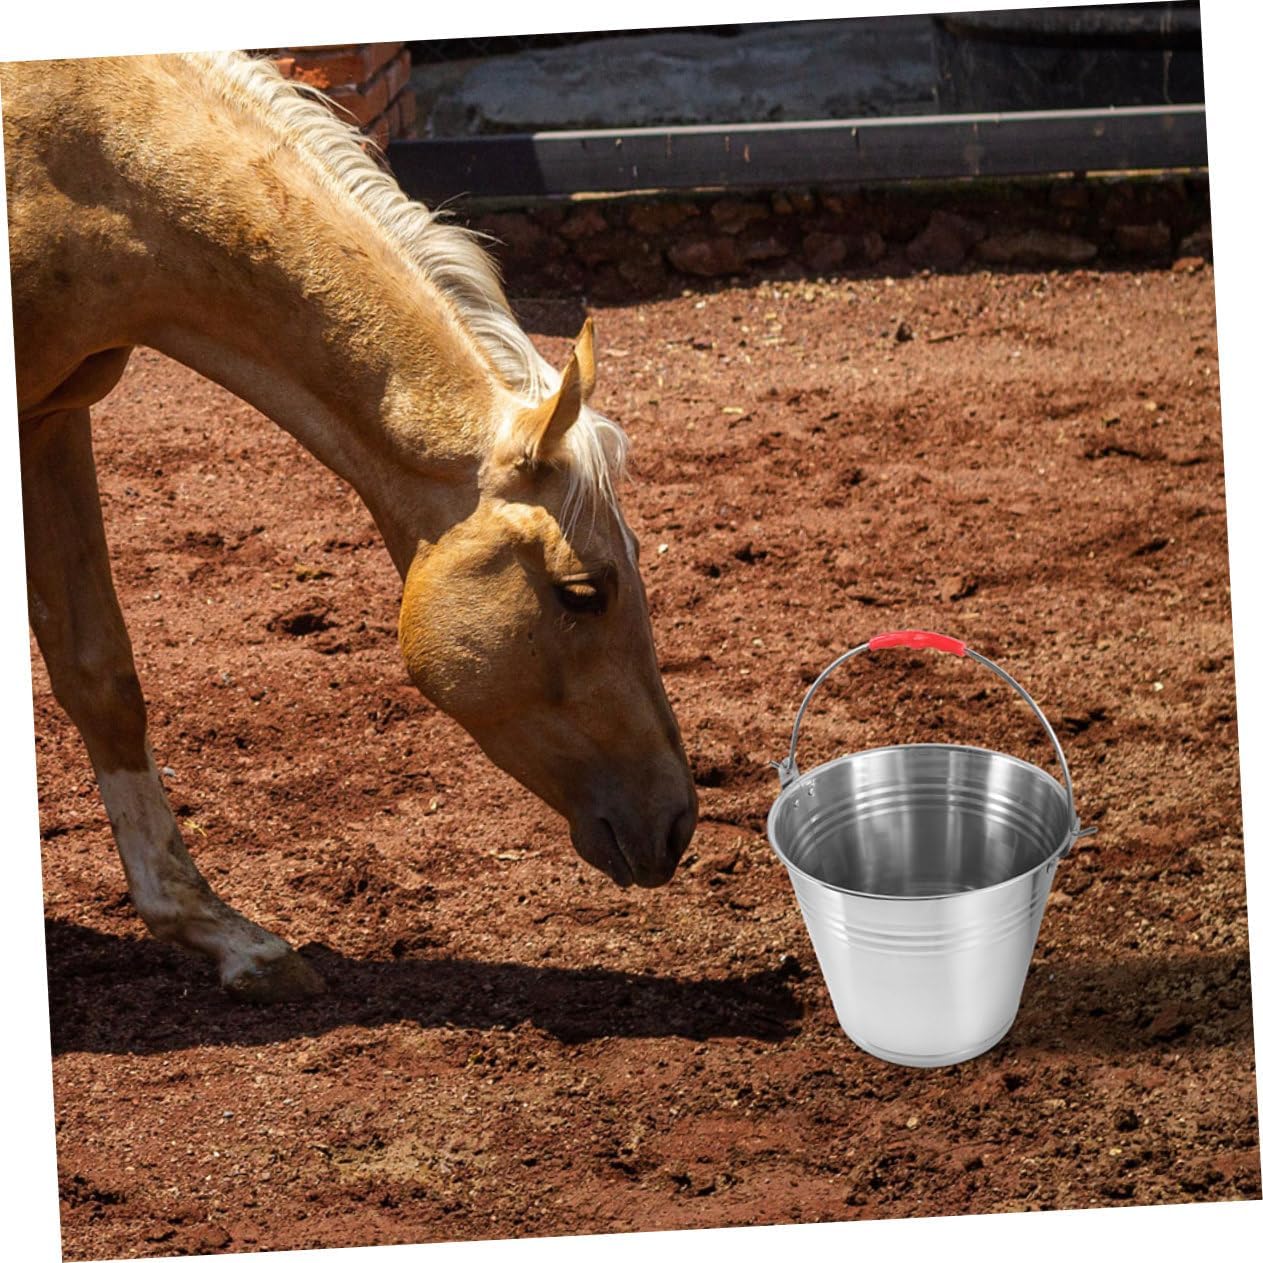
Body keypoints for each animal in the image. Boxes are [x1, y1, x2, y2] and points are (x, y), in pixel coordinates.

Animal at [3, 51, 697, 1002]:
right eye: (582, 592)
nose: (676, 821)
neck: (68, 152)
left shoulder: (49, 418)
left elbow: (99, 672)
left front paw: (221, 933)